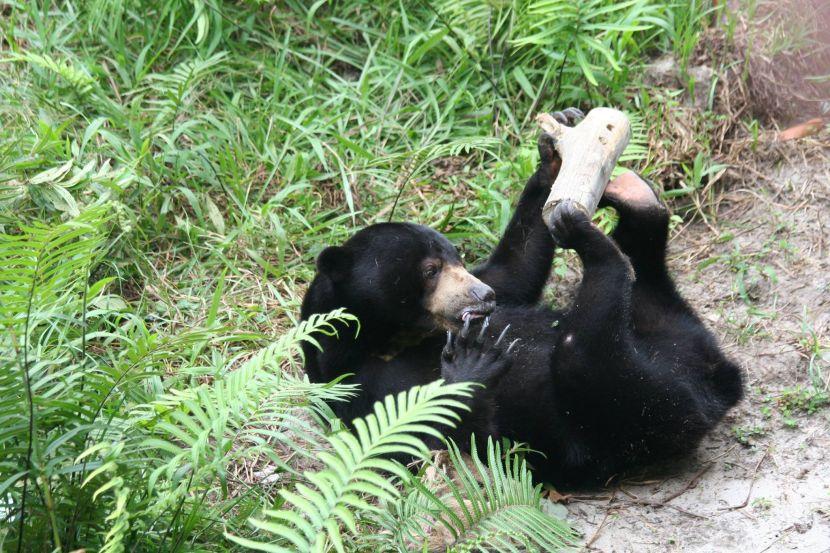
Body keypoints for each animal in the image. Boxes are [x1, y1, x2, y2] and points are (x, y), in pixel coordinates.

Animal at [302, 109, 744, 488]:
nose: (483, 297)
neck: (395, 338)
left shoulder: (497, 285)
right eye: (430, 270)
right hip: (625, 410)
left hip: (664, 341)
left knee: (649, 286)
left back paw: (633, 197)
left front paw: (553, 150)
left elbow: (516, 268)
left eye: (456, 258)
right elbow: (444, 438)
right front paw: (473, 358)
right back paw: (592, 238)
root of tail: (718, 383)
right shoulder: (359, 388)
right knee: (587, 344)